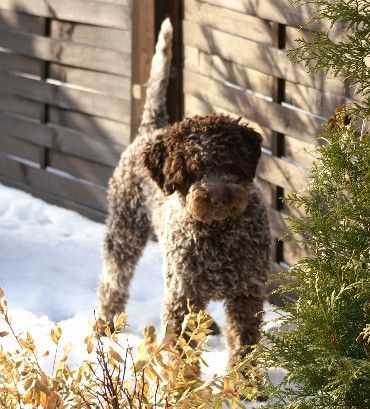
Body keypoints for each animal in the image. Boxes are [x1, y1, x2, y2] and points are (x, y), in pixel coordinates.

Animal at [98, 18, 272, 366]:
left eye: (230, 163)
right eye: (191, 171)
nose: (218, 197)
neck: (220, 233)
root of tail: (151, 129)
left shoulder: (246, 292)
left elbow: (244, 345)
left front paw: (245, 381)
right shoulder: (185, 293)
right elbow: (181, 350)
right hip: (125, 228)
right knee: (113, 279)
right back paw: (106, 324)